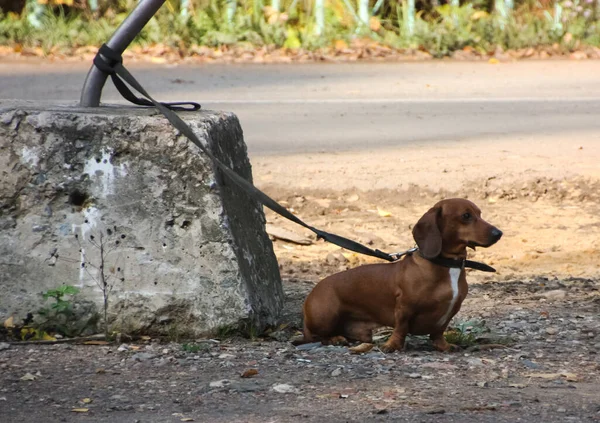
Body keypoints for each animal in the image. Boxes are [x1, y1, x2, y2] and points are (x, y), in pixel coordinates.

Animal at [300, 200, 502, 352]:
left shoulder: (450, 311)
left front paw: (444, 346)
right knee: (315, 336)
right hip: (326, 316)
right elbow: (401, 328)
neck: (445, 264)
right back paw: (335, 339)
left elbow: (438, 333)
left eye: (480, 213)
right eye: (466, 216)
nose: (499, 233)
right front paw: (392, 345)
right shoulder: (404, 306)